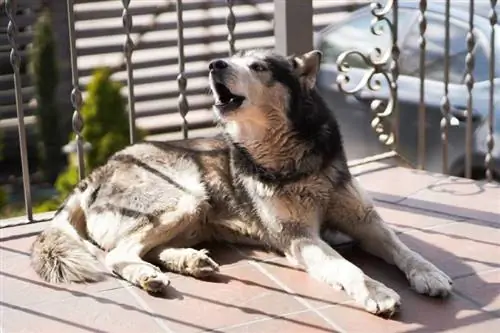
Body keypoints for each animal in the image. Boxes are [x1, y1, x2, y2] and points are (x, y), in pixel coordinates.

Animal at [31, 48, 454, 316]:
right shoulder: (300, 237)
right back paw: (152, 274)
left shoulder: (366, 221)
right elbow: (350, 269)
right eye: (232, 58)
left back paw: (188, 261)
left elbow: (404, 249)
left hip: (192, 213)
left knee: (142, 249)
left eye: (260, 66)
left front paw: (429, 273)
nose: (215, 63)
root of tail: (94, 174)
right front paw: (378, 292)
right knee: (118, 254)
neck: (290, 155)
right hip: (185, 198)